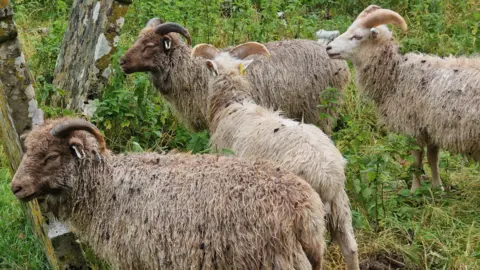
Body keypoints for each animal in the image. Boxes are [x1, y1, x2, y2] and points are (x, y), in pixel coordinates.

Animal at [326, 5, 480, 192]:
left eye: (357, 36)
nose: (328, 48)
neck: (397, 74)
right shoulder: (431, 126)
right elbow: (433, 157)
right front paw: (438, 187)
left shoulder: (413, 126)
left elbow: (417, 160)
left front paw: (415, 190)